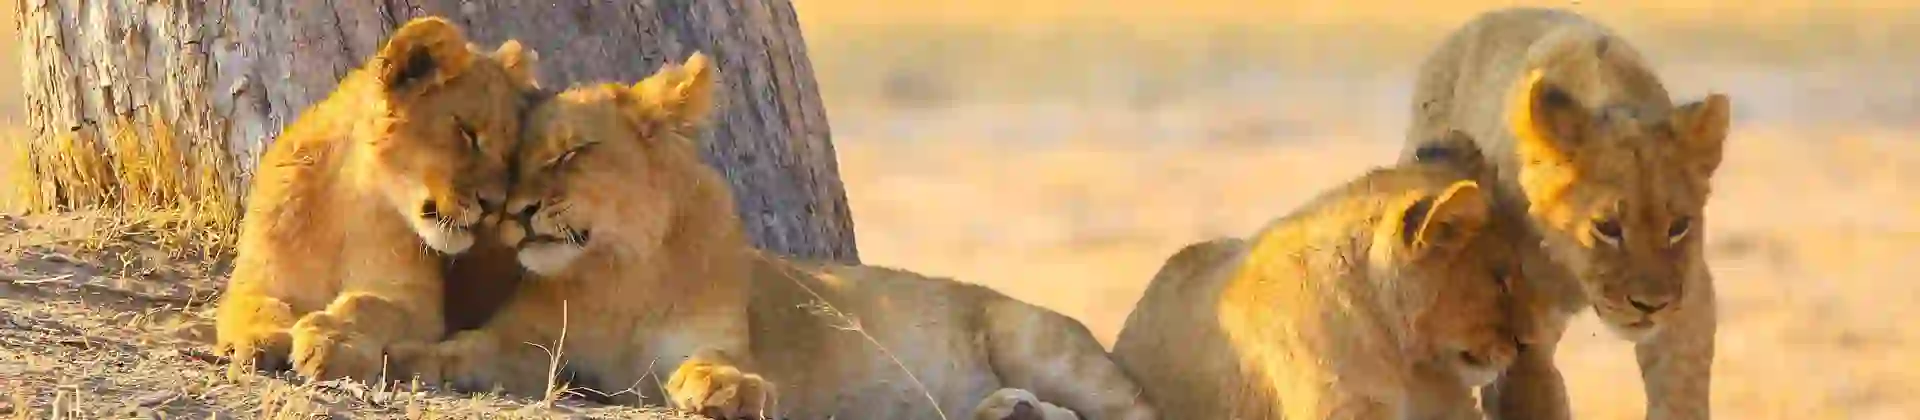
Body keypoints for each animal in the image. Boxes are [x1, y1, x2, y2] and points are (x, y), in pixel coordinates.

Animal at [213, 16, 541, 383]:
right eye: (467, 133)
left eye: (509, 155)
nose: (496, 205)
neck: (349, 202)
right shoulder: (257, 280)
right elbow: (258, 305)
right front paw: (261, 339)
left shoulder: (416, 304)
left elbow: (367, 305)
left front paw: (331, 341)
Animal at [394, 53, 1156, 420]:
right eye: (515, 159)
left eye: (570, 154)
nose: (514, 213)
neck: (617, 268)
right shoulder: (530, 344)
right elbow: (467, 347)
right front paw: (405, 355)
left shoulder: (713, 334)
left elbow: (713, 363)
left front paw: (726, 391)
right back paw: (1009, 412)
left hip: (1035, 340)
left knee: (1140, 411)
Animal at [1397, 7, 1731, 420]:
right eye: (1607, 227)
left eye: (1679, 227)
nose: (1649, 306)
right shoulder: (1522, 337)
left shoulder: (1689, 298)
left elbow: (1680, 391)